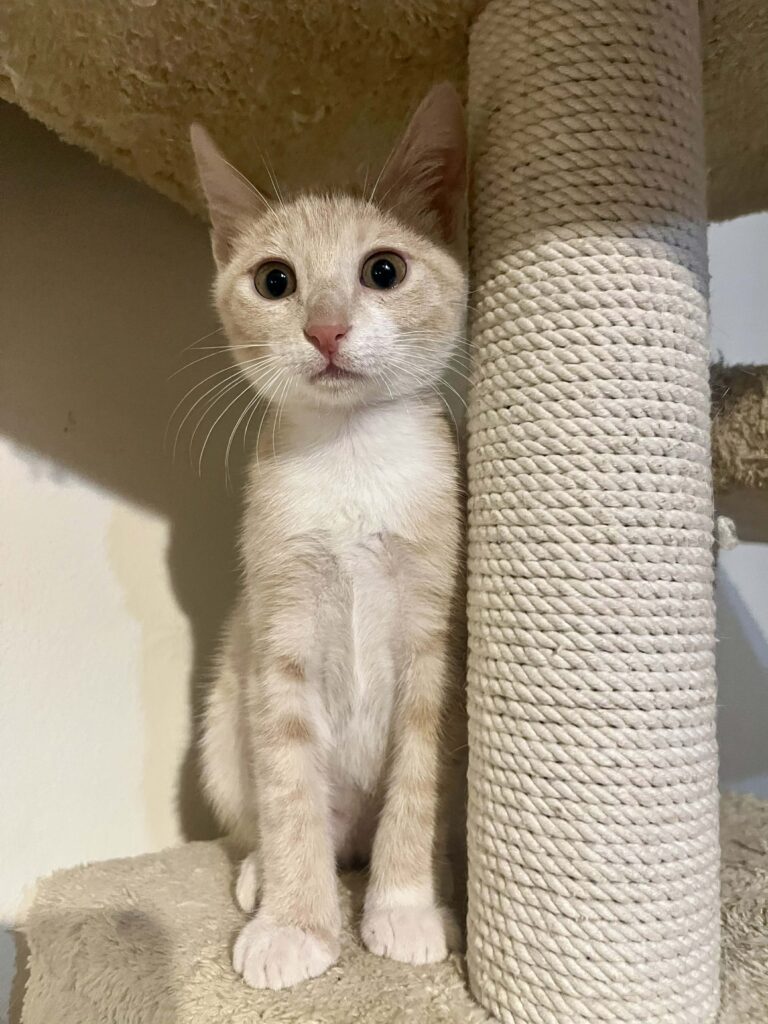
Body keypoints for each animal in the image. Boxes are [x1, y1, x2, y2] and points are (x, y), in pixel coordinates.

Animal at [190, 82, 468, 991]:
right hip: (222, 718)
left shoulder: (433, 636)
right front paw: (296, 926)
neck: (351, 460)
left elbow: (418, 784)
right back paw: (260, 875)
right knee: (272, 815)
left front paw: (405, 909)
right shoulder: (277, 632)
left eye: (385, 270)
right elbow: (287, 792)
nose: (325, 328)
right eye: (275, 281)